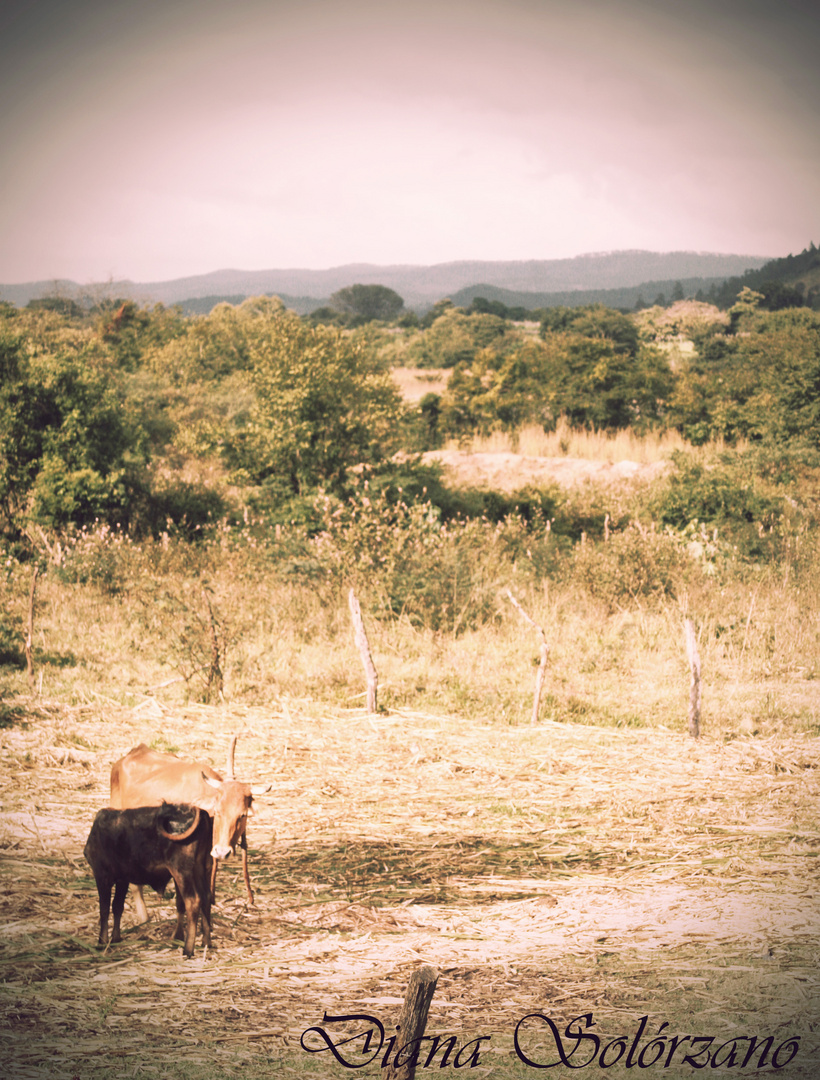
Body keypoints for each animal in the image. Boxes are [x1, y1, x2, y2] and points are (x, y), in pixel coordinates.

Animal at [84, 803, 214, 963]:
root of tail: (200, 812)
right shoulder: (122, 879)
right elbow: (117, 907)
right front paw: (116, 938)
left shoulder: (102, 875)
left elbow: (104, 909)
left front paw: (102, 942)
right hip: (201, 868)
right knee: (206, 898)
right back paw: (206, 942)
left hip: (182, 872)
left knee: (193, 901)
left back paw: (188, 950)